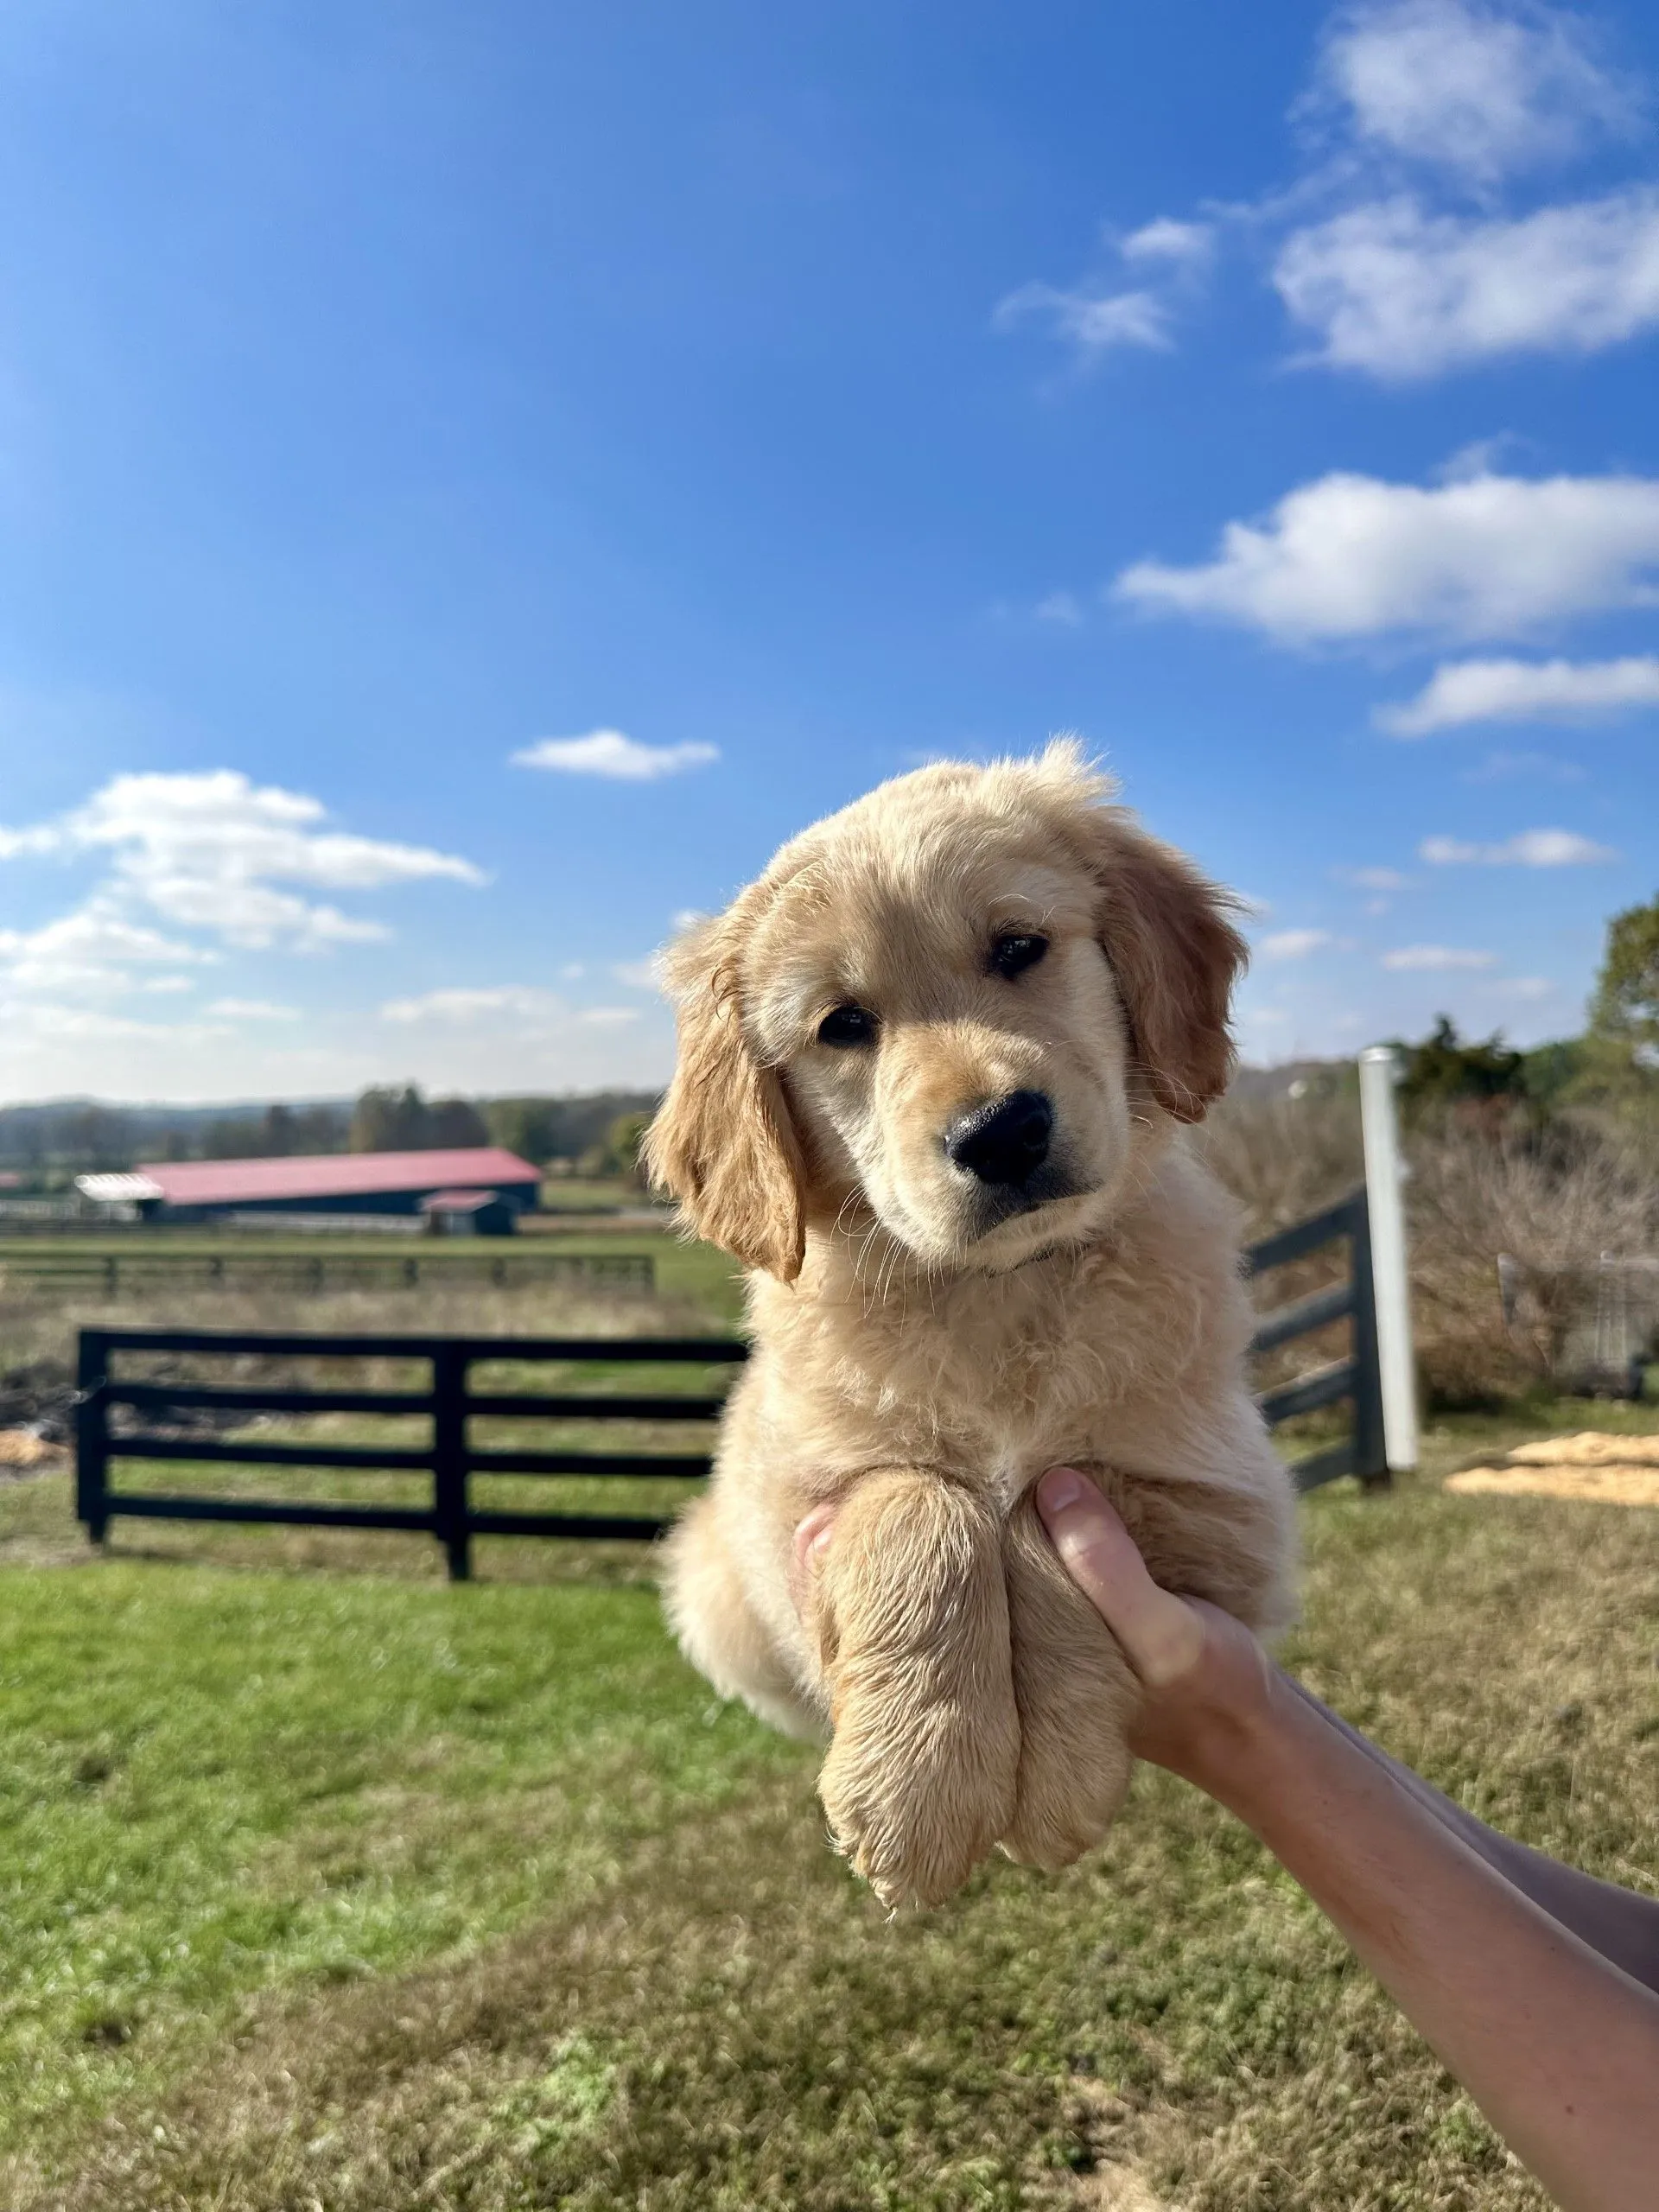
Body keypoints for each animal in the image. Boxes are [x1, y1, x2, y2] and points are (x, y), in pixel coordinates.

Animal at [641, 739, 1309, 1902]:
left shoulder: (1227, 1505)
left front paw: (1055, 1775)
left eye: (1018, 948)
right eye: (843, 1025)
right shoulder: (793, 1511)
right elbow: (924, 1505)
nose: (1000, 1132)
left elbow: (1045, 1506)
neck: (997, 1291)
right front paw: (917, 1782)